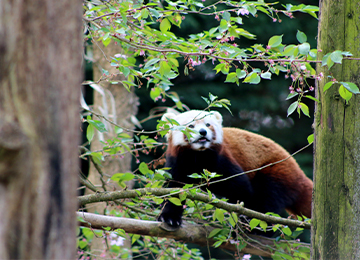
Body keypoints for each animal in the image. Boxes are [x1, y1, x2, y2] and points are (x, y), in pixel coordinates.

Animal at [158, 109, 312, 228]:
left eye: (208, 124)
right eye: (191, 125)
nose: (203, 132)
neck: (198, 156)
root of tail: (299, 172)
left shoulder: (222, 160)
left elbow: (241, 189)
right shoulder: (177, 163)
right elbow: (174, 191)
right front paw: (170, 217)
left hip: (275, 170)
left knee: (267, 199)